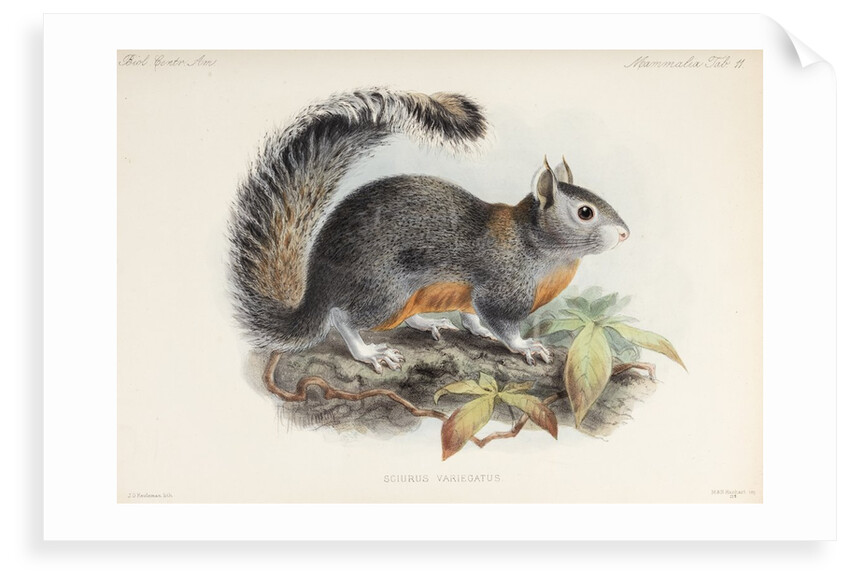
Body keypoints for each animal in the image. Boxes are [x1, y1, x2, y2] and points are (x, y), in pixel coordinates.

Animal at [229, 88, 629, 373]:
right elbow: (501, 322)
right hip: (384, 290)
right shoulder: (500, 287)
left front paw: (478, 331)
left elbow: (472, 317)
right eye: (585, 212)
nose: (626, 234)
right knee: (342, 318)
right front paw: (525, 345)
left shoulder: (471, 296)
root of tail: (317, 286)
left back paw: (426, 323)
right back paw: (369, 353)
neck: (537, 247)